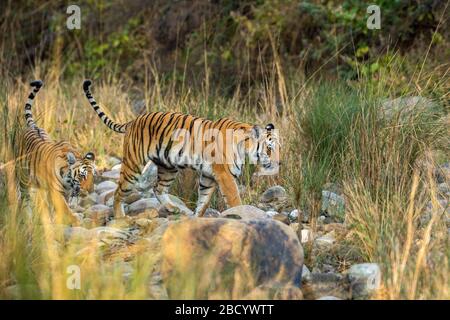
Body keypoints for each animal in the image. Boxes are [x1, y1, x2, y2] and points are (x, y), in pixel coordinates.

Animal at [16, 80, 96, 225]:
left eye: (94, 176)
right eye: (82, 176)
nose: (90, 191)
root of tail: (33, 126)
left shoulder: (64, 191)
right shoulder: (56, 192)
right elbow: (65, 209)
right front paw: (76, 222)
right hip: (24, 177)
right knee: (25, 197)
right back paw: (27, 216)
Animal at [81, 79, 278, 218]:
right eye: (269, 148)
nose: (279, 163)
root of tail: (134, 120)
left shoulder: (208, 176)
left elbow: (203, 200)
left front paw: (196, 218)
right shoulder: (225, 176)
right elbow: (234, 199)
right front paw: (243, 213)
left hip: (168, 167)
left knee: (157, 188)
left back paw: (174, 209)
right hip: (133, 165)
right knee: (119, 191)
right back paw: (121, 217)